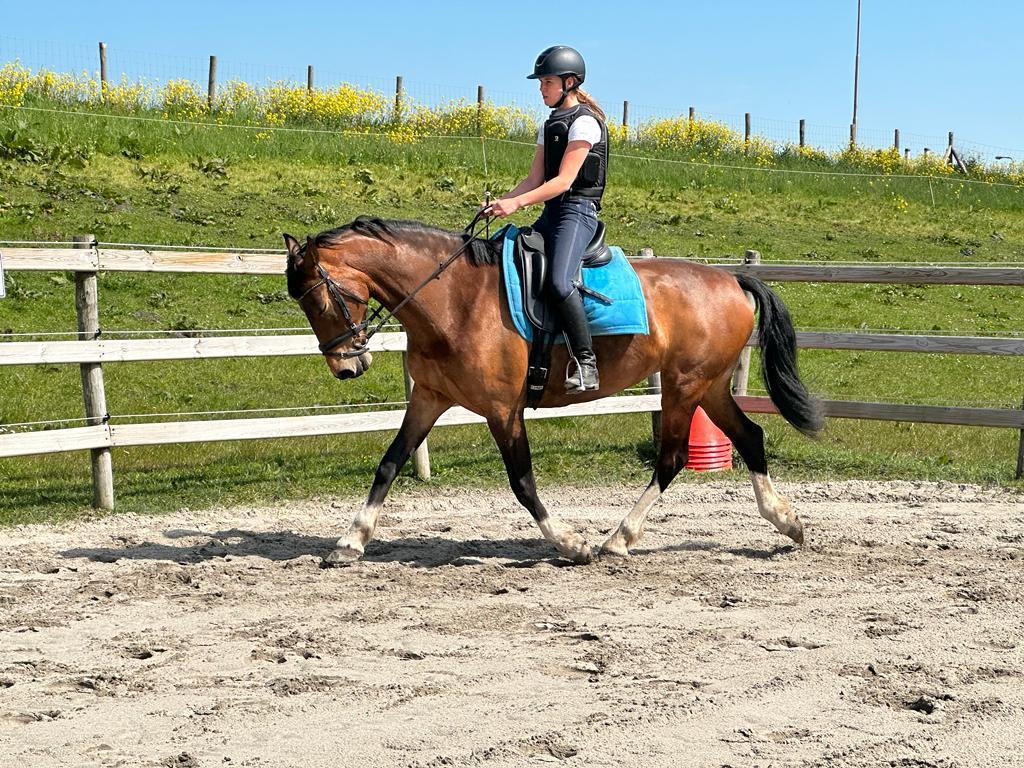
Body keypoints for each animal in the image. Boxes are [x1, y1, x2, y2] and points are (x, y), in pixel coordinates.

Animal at [283, 216, 823, 565]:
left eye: (319, 300)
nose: (346, 367)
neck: (454, 300)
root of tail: (731, 279)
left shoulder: (503, 409)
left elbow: (522, 482)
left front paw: (569, 543)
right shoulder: (428, 399)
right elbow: (389, 463)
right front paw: (351, 541)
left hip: (684, 387)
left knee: (672, 459)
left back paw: (617, 540)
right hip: (707, 386)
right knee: (750, 436)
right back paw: (787, 522)